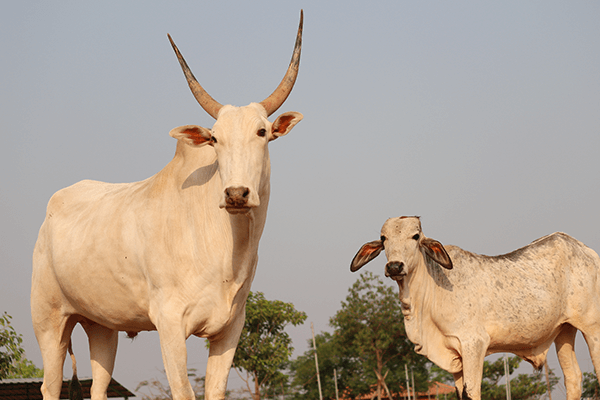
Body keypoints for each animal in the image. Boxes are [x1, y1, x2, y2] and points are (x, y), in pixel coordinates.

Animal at [31, 11, 304, 400]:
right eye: (215, 139)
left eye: (262, 132)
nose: (236, 194)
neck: (225, 250)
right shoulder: (170, 323)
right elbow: (183, 392)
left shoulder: (231, 327)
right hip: (49, 320)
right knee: (51, 384)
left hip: (102, 326)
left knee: (98, 384)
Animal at [350, 216, 600, 400]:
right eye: (384, 238)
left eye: (415, 236)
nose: (394, 266)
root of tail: (587, 251)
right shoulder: (454, 356)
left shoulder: (473, 344)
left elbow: (472, 392)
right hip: (564, 330)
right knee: (573, 378)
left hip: (592, 327)